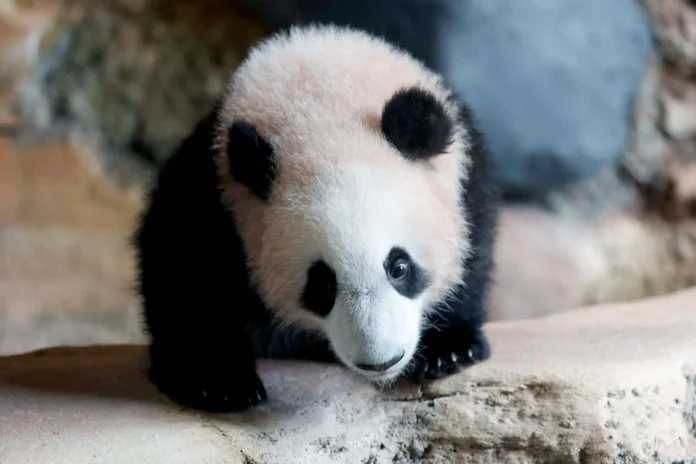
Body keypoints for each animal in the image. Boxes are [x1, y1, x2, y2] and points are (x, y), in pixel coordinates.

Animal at [132, 24, 500, 413]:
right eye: (322, 284)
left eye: (399, 267)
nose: (381, 362)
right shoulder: (212, 187)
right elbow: (180, 269)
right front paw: (219, 382)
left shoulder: (465, 176)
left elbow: (473, 253)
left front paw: (449, 349)